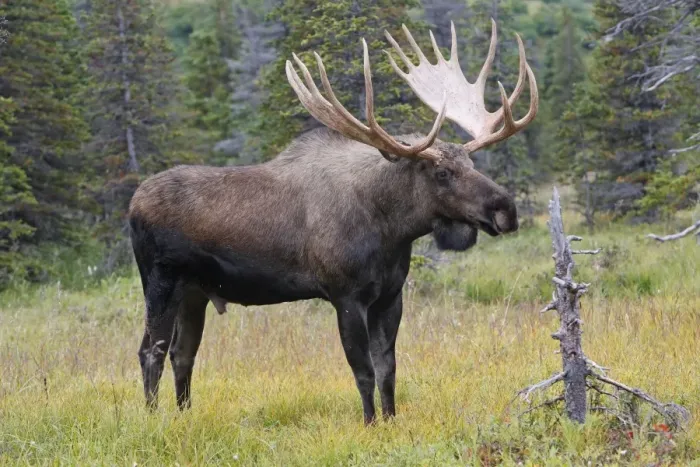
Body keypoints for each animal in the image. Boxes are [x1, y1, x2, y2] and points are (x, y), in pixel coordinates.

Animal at [128, 20, 538, 425]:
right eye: (442, 173)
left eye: (471, 163)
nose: (506, 209)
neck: (390, 231)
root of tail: (132, 205)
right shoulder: (345, 295)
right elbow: (364, 371)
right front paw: (370, 424)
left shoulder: (390, 296)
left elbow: (388, 368)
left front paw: (391, 421)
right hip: (161, 281)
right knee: (151, 351)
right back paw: (152, 419)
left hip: (194, 292)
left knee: (183, 353)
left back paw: (184, 416)